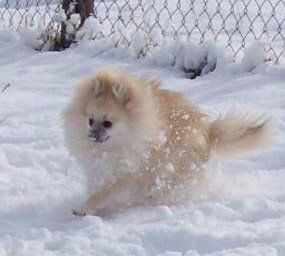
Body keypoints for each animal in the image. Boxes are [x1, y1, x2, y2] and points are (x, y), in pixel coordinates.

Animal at [63, 68, 270, 216]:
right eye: (90, 120)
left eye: (107, 123)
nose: (91, 135)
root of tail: (207, 132)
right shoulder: (102, 170)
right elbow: (98, 188)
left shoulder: (131, 173)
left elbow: (104, 193)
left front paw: (85, 208)